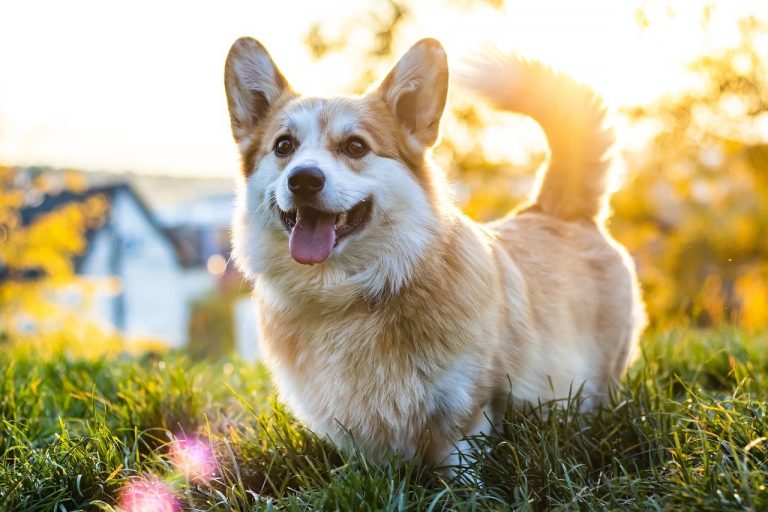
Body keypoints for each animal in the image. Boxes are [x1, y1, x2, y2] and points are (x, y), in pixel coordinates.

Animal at [225, 38, 644, 466]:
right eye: (284, 146)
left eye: (356, 146)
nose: (304, 179)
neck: (348, 294)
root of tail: (559, 209)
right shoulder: (357, 435)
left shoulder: (464, 411)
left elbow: (460, 469)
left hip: (603, 376)